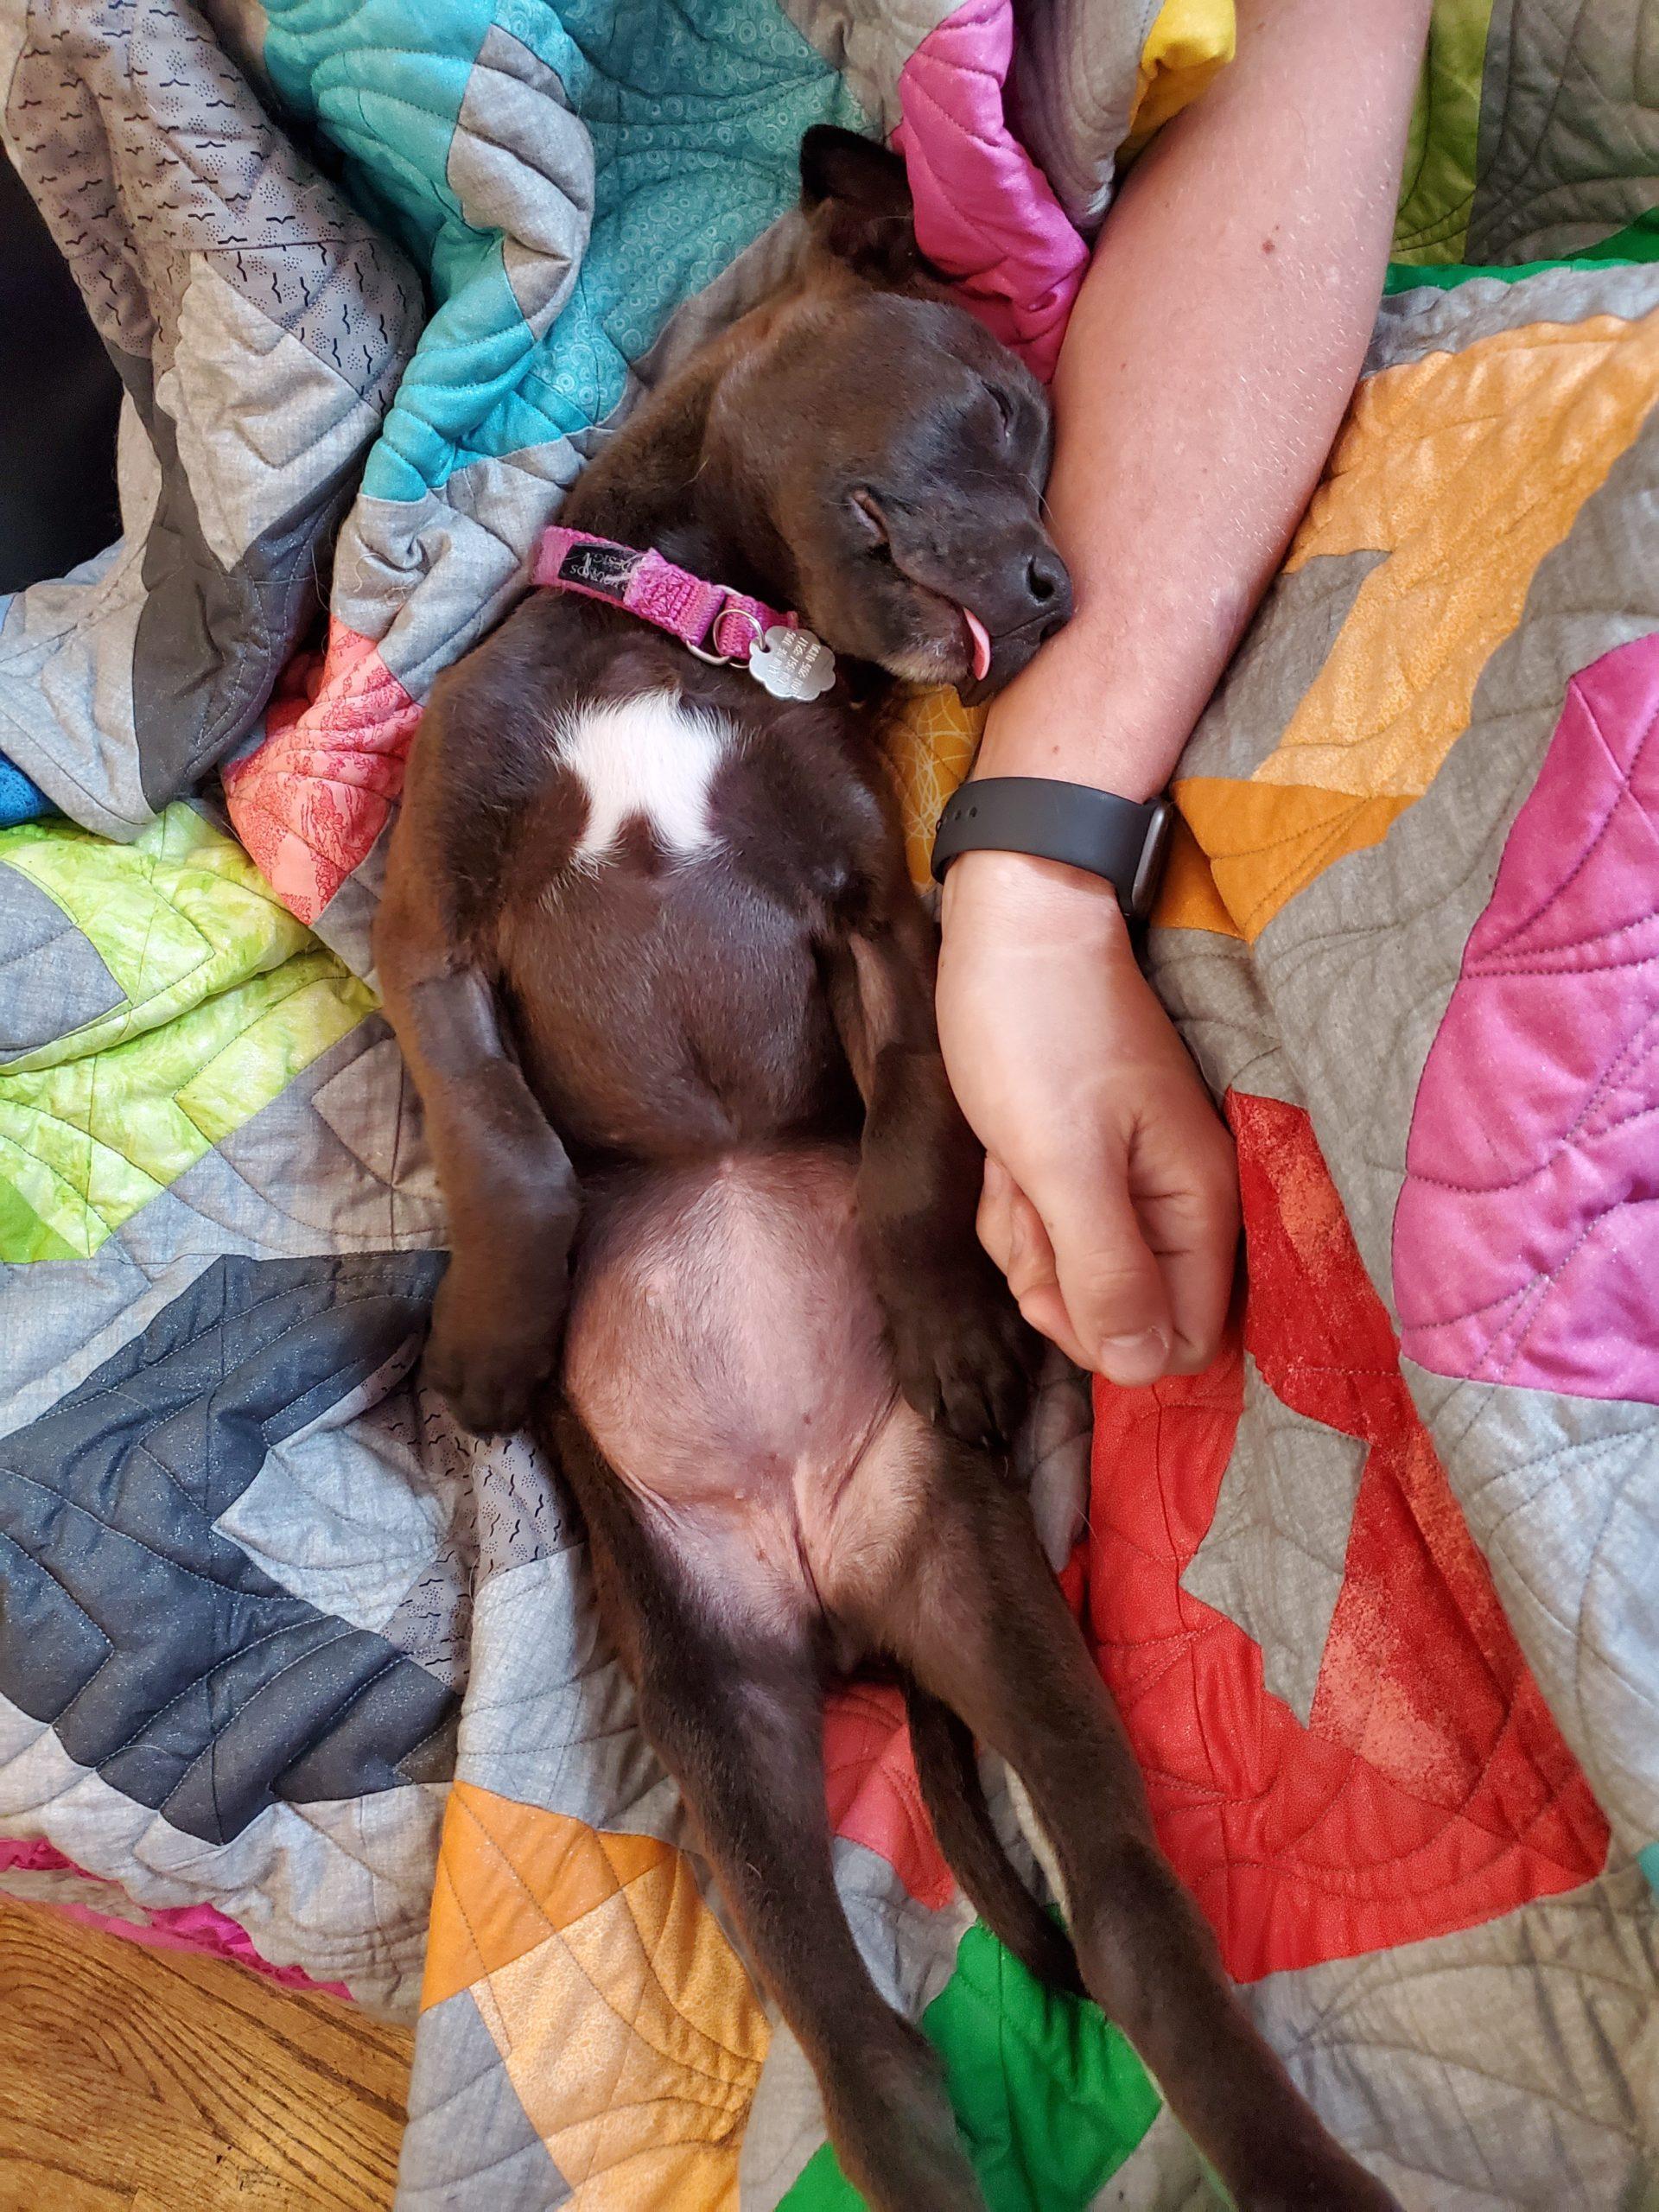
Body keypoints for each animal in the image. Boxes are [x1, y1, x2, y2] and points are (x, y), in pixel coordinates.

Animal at [376, 133, 1407, 2212]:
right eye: (1003, 407)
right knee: (866, 2050)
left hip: (985, 1596)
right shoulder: (426, 920)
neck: (694, 632)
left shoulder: (882, 924)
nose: (1062, 587)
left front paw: (944, 1321)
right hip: (714, 1705)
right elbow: (500, 1139)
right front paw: (497, 1342)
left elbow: (922, 1133)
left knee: (1123, 1929)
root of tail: (840, 1607)